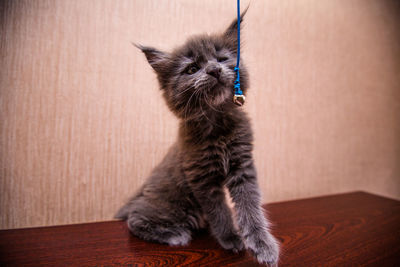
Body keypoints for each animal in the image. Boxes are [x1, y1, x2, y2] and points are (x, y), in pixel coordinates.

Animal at [115, 12, 278, 266]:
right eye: (192, 69)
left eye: (221, 59)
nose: (214, 70)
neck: (217, 126)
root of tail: (138, 195)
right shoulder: (202, 178)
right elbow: (219, 212)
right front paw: (231, 239)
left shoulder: (243, 167)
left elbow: (250, 209)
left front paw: (263, 246)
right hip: (178, 206)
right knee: (135, 219)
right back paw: (174, 235)